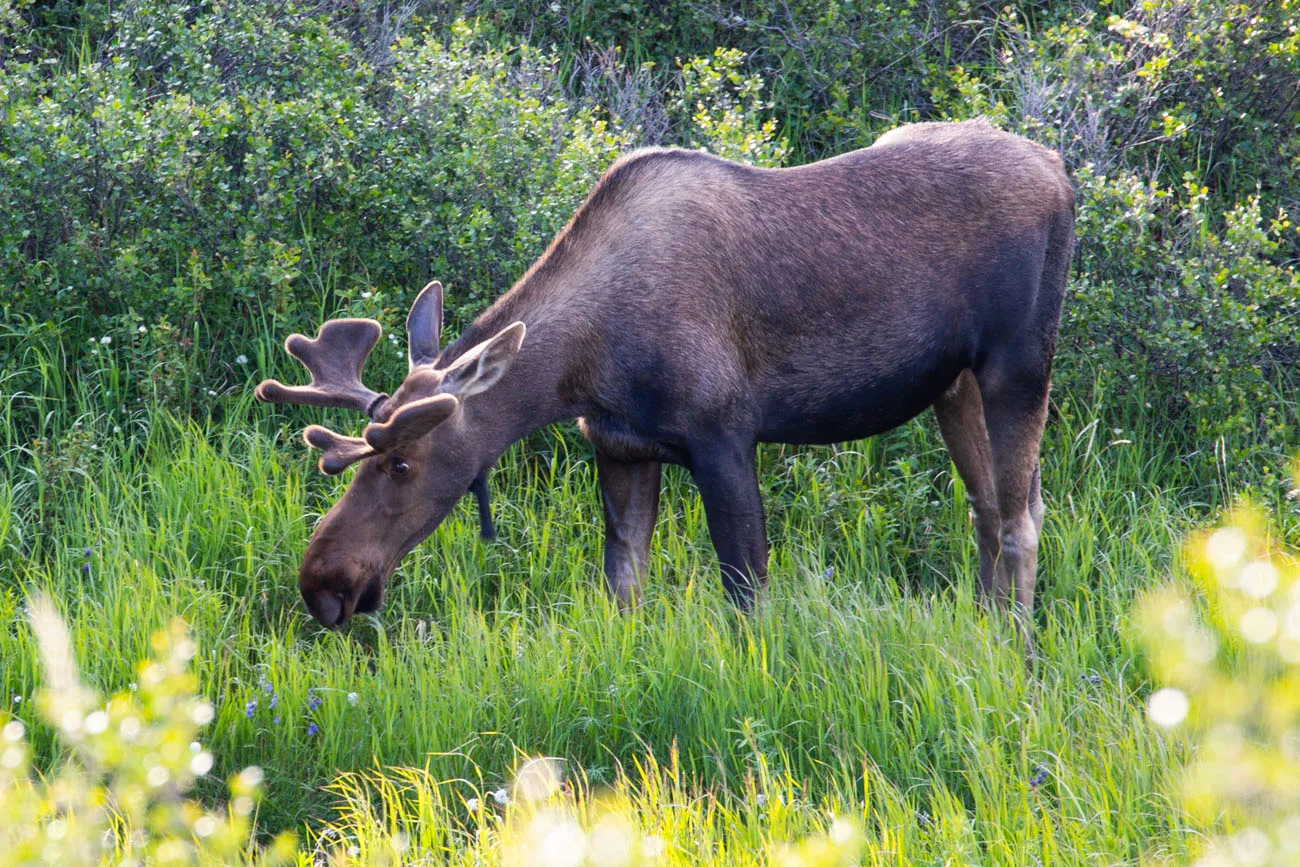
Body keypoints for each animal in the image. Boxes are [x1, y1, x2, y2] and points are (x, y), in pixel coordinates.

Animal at [255, 118, 1075, 630]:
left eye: (402, 463)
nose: (322, 584)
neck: (583, 367)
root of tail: (1063, 173)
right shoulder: (620, 448)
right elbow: (624, 591)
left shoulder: (724, 437)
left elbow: (747, 598)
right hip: (953, 383)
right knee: (989, 508)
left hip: (1018, 363)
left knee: (1021, 518)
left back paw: (1017, 656)